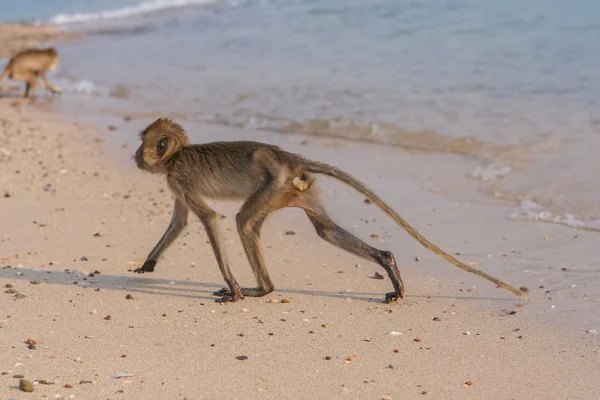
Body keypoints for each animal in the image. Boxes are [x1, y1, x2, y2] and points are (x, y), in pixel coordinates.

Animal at [134, 118, 528, 304]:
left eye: (144, 144)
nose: (135, 155)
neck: (175, 158)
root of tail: (288, 157)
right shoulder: (176, 184)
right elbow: (180, 222)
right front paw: (148, 263)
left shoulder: (179, 178)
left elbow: (208, 219)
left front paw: (233, 289)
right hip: (293, 189)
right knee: (324, 229)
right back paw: (386, 262)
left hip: (275, 183)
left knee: (244, 222)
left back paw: (263, 289)